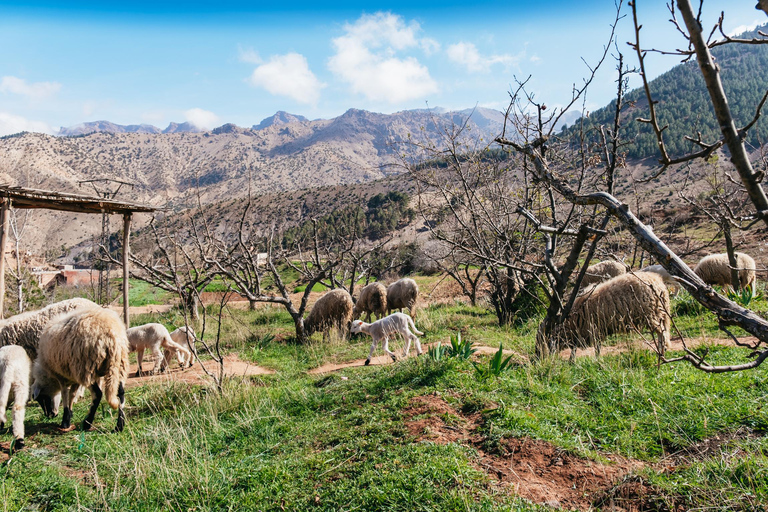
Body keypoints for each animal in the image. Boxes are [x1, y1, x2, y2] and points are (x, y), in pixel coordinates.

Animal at [31, 306, 129, 434]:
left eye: (40, 398)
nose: (49, 415)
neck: (48, 376)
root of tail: (112, 334)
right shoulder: (73, 377)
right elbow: (72, 395)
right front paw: (70, 414)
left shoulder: (62, 376)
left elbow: (65, 394)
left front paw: (65, 421)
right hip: (119, 365)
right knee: (120, 392)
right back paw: (119, 425)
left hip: (87, 368)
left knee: (98, 394)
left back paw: (87, 422)